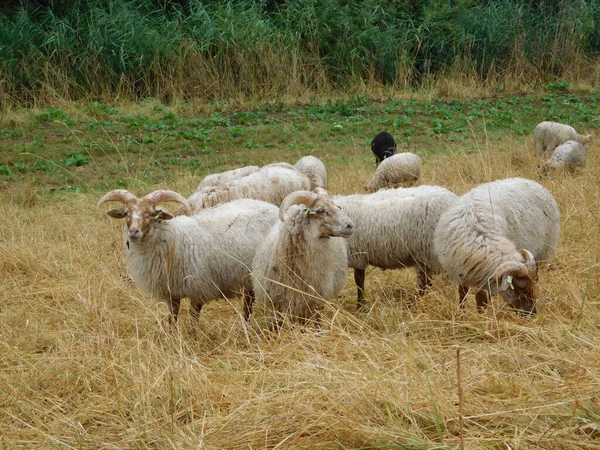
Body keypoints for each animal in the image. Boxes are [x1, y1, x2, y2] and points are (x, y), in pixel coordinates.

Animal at [96, 190, 278, 324]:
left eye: (152, 214)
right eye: (126, 213)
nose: (134, 232)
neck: (174, 238)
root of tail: (270, 206)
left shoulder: (198, 287)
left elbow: (193, 317)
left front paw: (193, 336)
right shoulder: (171, 292)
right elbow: (173, 318)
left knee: (249, 303)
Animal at [332, 185, 460, 308]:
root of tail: (452, 199)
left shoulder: (357, 256)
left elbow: (359, 282)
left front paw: (360, 306)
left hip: (432, 253)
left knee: (432, 283)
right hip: (423, 256)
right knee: (425, 283)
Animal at [434, 178, 560, 314]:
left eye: (534, 282)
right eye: (521, 287)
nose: (531, 313)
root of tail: (529, 180)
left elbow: (482, 298)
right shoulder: (461, 272)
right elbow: (463, 295)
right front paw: (463, 313)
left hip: (544, 251)